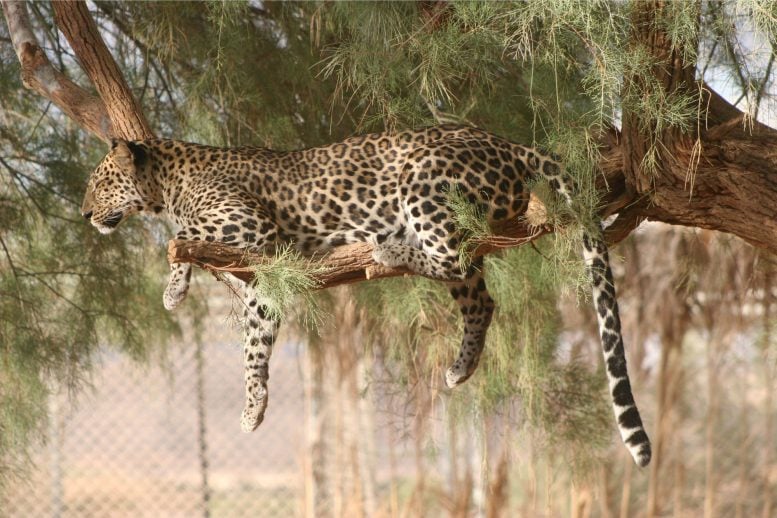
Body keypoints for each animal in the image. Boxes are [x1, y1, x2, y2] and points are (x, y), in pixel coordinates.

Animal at [80, 125, 648, 468]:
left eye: (100, 183)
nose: (84, 213)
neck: (167, 181)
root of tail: (503, 141)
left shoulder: (251, 225)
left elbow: (183, 240)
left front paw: (173, 284)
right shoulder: (259, 273)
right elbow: (255, 334)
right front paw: (254, 405)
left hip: (424, 183)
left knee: (447, 257)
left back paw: (386, 249)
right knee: (478, 293)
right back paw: (459, 367)